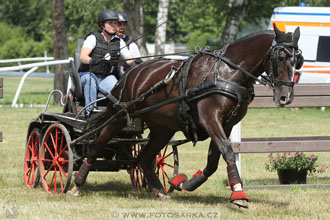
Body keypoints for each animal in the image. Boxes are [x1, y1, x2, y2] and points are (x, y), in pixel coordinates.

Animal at [68, 24, 302, 209]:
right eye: (281, 57)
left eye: (298, 60)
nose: (285, 97)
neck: (226, 72)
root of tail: (131, 73)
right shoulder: (210, 119)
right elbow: (227, 151)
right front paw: (238, 194)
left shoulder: (226, 124)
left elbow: (213, 161)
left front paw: (184, 183)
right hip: (117, 116)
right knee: (96, 145)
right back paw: (76, 184)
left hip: (162, 128)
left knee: (144, 157)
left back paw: (160, 190)